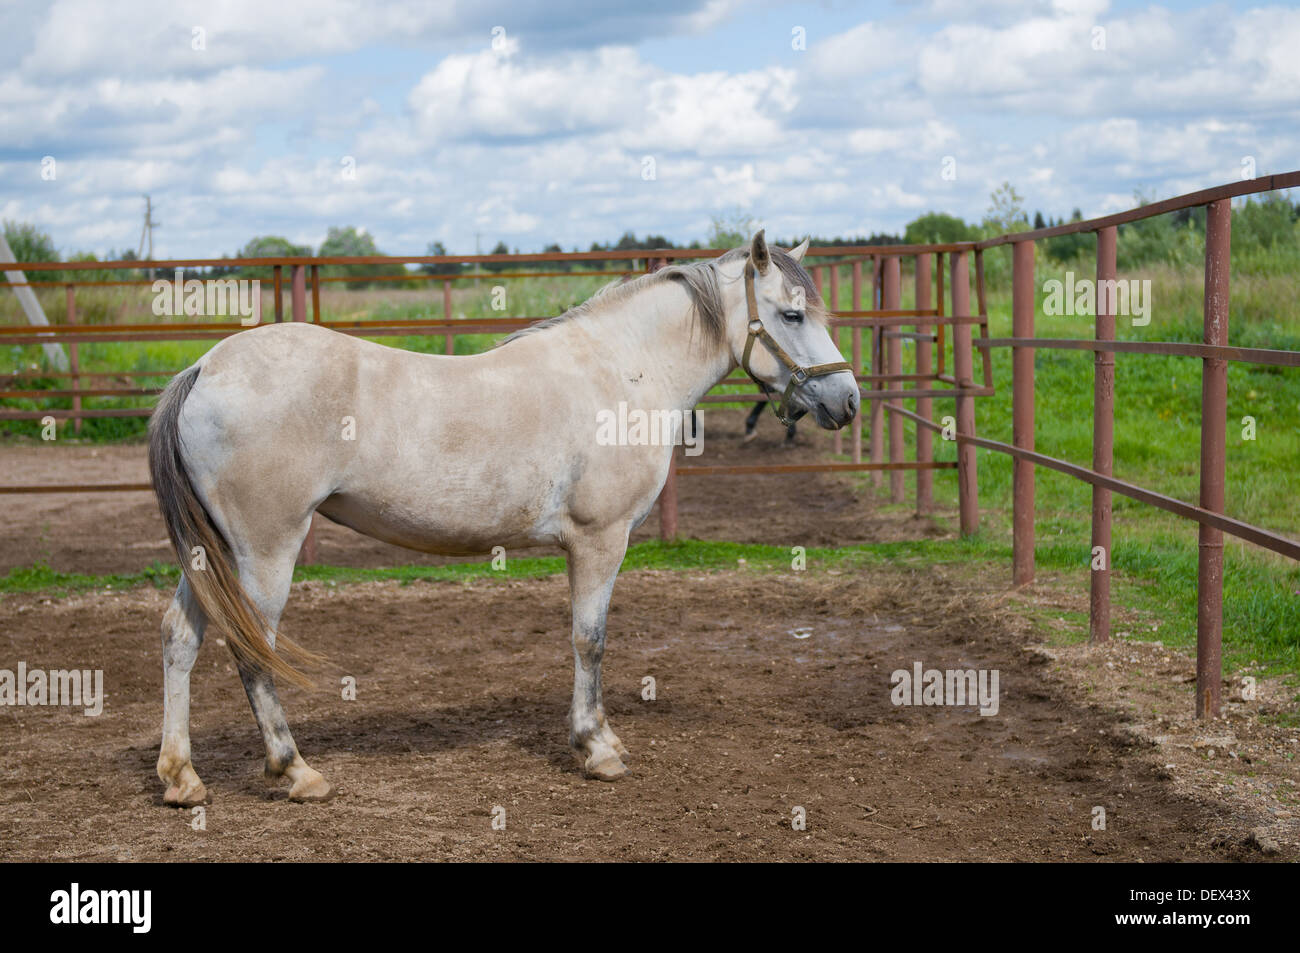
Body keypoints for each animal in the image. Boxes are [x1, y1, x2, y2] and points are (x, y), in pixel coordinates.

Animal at [147, 231, 859, 805]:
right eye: (791, 314)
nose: (847, 399)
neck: (623, 371)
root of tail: (204, 367)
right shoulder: (599, 542)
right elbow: (589, 640)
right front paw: (597, 749)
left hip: (215, 555)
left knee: (181, 637)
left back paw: (182, 779)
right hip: (266, 551)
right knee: (252, 651)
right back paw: (296, 772)